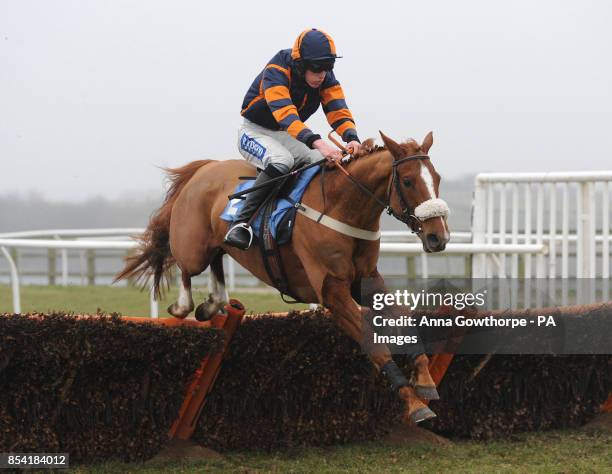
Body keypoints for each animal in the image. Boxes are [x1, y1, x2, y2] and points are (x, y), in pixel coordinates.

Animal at [115, 130, 450, 422]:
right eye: (407, 181)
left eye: (437, 178)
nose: (439, 237)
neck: (342, 207)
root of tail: (205, 168)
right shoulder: (332, 291)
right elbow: (373, 342)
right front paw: (413, 404)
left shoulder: (366, 278)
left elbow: (404, 318)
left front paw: (425, 380)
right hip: (193, 245)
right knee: (186, 267)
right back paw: (186, 305)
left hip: (217, 243)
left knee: (217, 260)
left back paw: (214, 303)